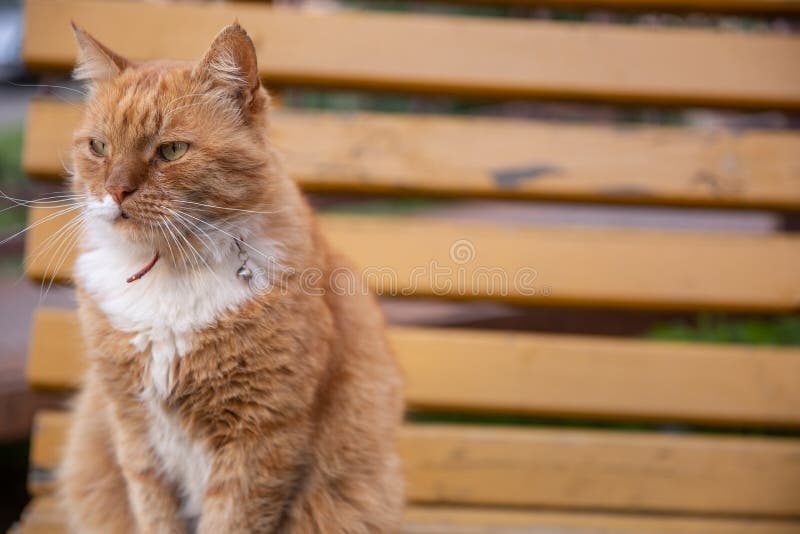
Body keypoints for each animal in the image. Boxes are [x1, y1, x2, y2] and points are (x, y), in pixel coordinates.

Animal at [58, 23, 404, 532]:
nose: (115, 191)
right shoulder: (133, 430)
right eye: (99, 147)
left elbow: (231, 519)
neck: (171, 272)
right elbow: (154, 514)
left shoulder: (259, 436)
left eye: (172, 150)